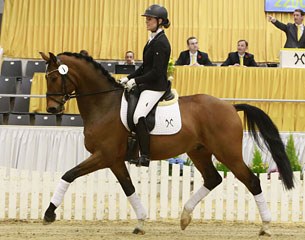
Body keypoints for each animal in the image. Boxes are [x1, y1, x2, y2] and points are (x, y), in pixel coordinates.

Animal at [39, 52, 292, 236]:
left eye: (54, 78)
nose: (52, 109)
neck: (104, 104)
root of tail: (230, 107)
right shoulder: (115, 160)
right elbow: (128, 187)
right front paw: (141, 222)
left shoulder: (104, 155)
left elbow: (69, 175)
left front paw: (49, 214)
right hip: (199, 152)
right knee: (213, 179)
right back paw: (185, 217)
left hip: (228, 153)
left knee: (251, 180)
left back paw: (266, 226)